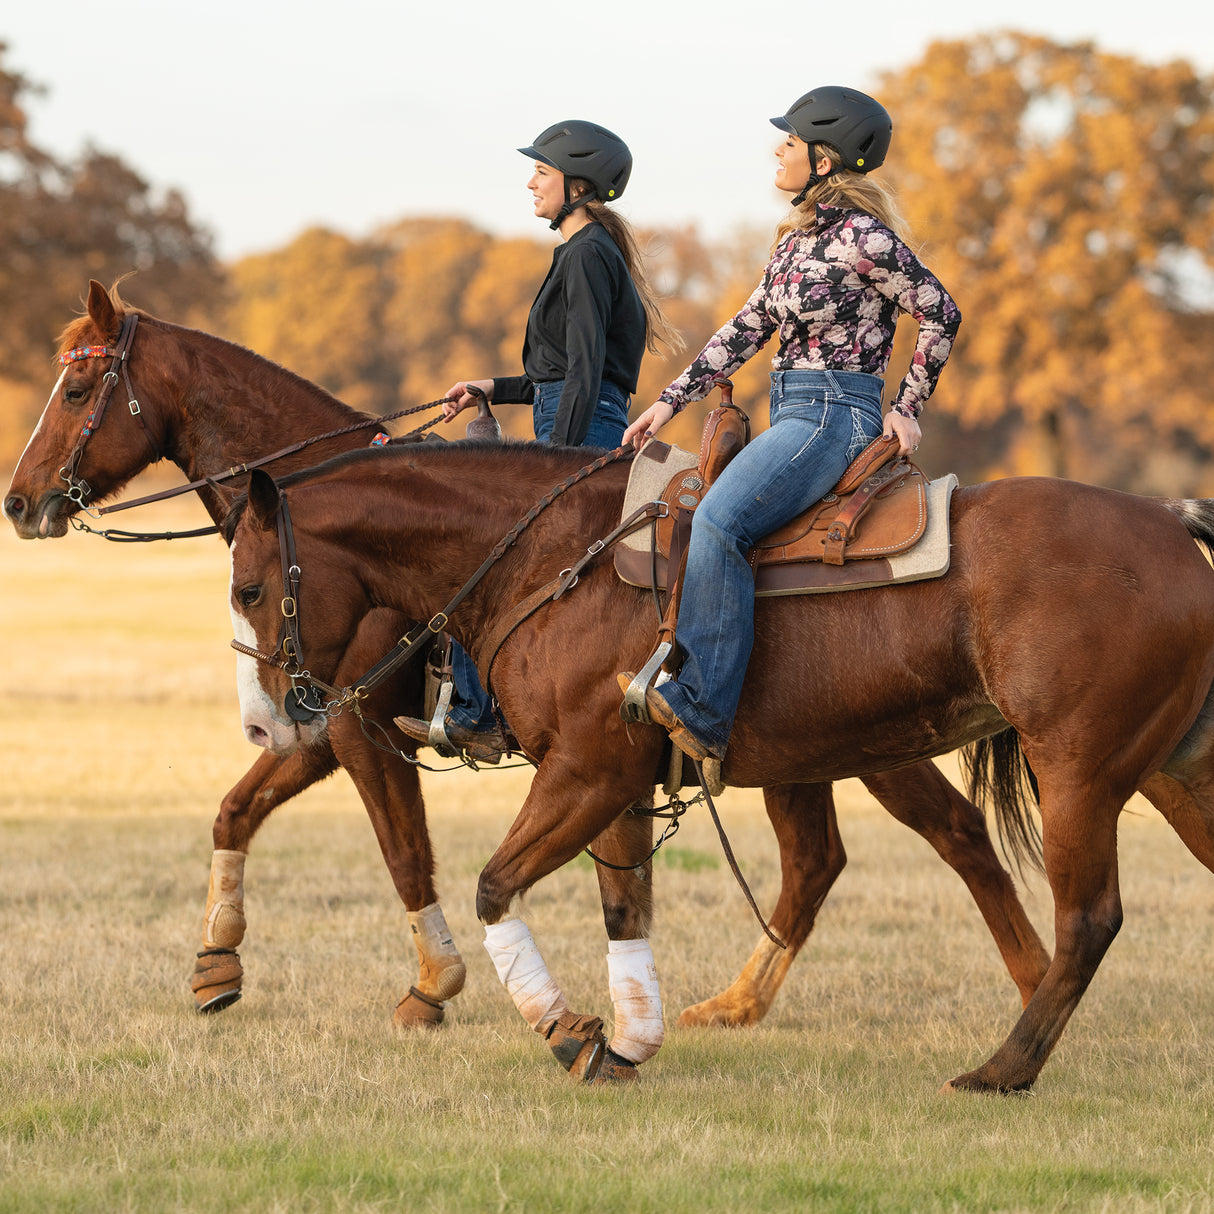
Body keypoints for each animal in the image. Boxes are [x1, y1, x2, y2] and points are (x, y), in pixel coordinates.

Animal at [5, 280, 1049, 1034]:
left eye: (79, 387)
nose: (20, 500)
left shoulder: (363, 731)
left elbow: (405, 852)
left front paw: (434, 986)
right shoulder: (325, 725)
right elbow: (234, 811)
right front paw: (216, 961)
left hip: (863, 744)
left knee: (947, 838)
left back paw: (1028, 985)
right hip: (805, 756)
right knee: (825, 860)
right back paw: (745, 1003)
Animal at [225, 444, 1214, 1090]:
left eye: (248, 586)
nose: (265, 726)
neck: (555, 560)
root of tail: (1173, 524)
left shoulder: (585, 773)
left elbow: (495, 887)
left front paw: (567, 1031)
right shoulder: (617, 788)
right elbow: (622, 909)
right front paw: (625, 1042)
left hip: (1078, 770)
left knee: (1087, 918)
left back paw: (1002, 1068)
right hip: (1171, 767)